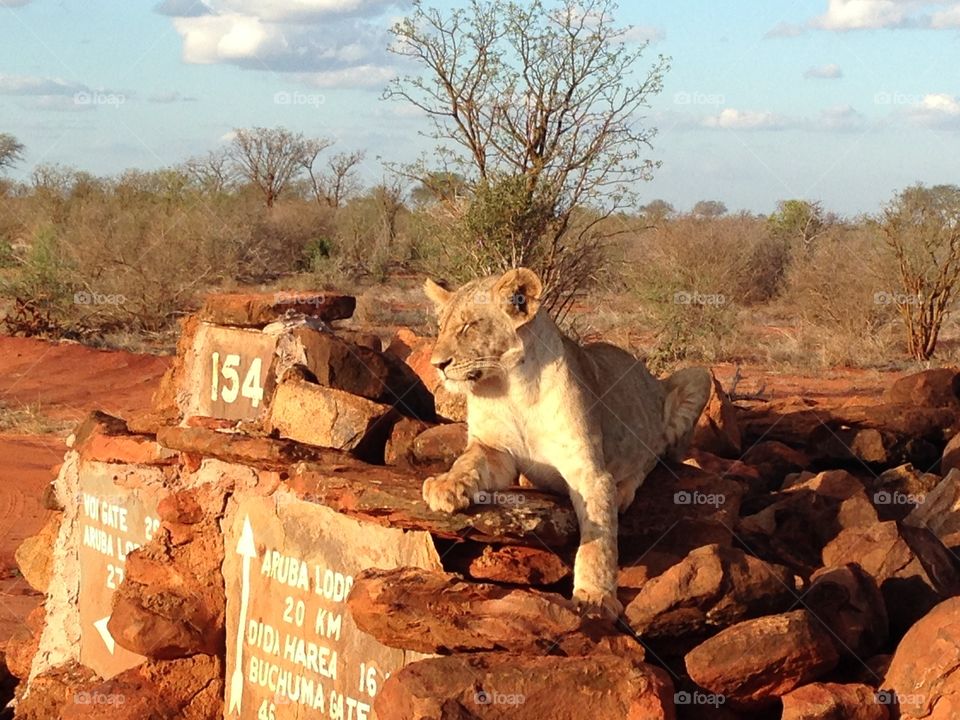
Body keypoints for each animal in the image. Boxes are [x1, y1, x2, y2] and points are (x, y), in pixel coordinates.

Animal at [420, 267, 712, 616]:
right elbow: (468, 461)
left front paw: (595, 597)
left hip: (698, 376)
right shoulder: (493, 450)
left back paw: (624, 490)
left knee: (655, 456)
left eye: (469, 325)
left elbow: (598, 538)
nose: (437, 365)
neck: (509, 388)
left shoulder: (587, 470)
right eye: (441, 328)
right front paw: (445, 486)